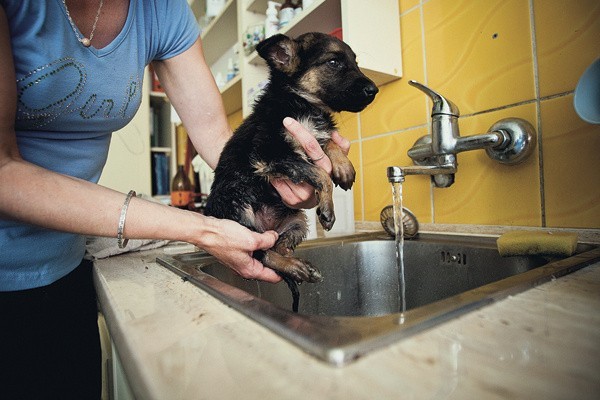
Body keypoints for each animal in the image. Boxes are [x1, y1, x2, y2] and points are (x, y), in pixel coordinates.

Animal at [204, 32, 378, 310]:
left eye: (355, 62)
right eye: (333, 62)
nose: (374, 90)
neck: (304, 105)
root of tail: (266, 229)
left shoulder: (310, 138)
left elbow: (329, 141)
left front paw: (344, 167)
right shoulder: (269, 156)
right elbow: (319, 174)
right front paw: (328, 209)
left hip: (296, 220)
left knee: (278, 248)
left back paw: (297, 266)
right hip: (238, 207)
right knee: (261, 253)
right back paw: (295, 267)